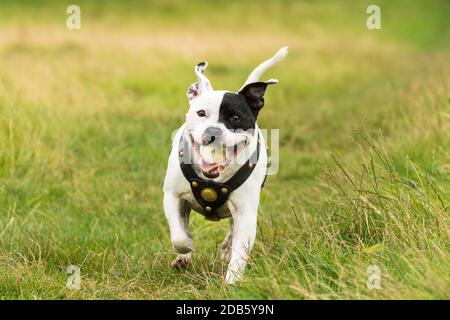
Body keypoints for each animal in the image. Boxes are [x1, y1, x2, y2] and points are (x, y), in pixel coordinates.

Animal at [163, 47, 286, 282]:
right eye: (201, 113)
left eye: (235, 118)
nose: (213, 132)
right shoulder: (172, 196)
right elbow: (179, 236)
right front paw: (186, 249)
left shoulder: (245, 213)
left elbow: (240, 251)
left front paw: (232, 281)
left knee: (231, 231)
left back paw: (226, 249)